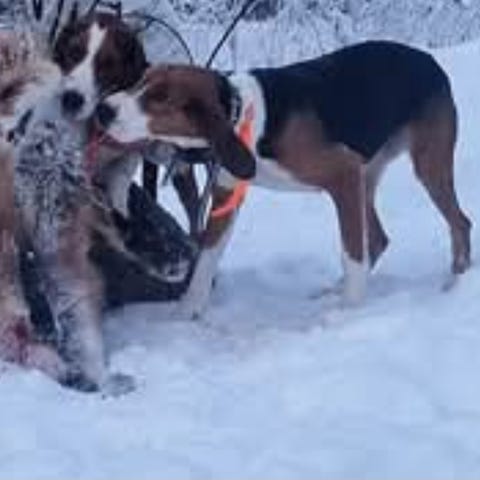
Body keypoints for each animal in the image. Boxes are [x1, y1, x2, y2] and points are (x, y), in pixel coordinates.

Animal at [96, 41, 472, 319]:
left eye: (158, 99)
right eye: (140, 81)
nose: (102, 109)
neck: (242, 114)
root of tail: (428, 60)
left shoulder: (343, 173)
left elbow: (352, 254)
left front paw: (349, 312)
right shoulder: (225, 196)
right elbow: (206, 260)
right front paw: (187, 313)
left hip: (425, 166)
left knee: (459, 223)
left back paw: (456, 282)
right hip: (366, 177)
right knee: (379, 239)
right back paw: (333, 289)